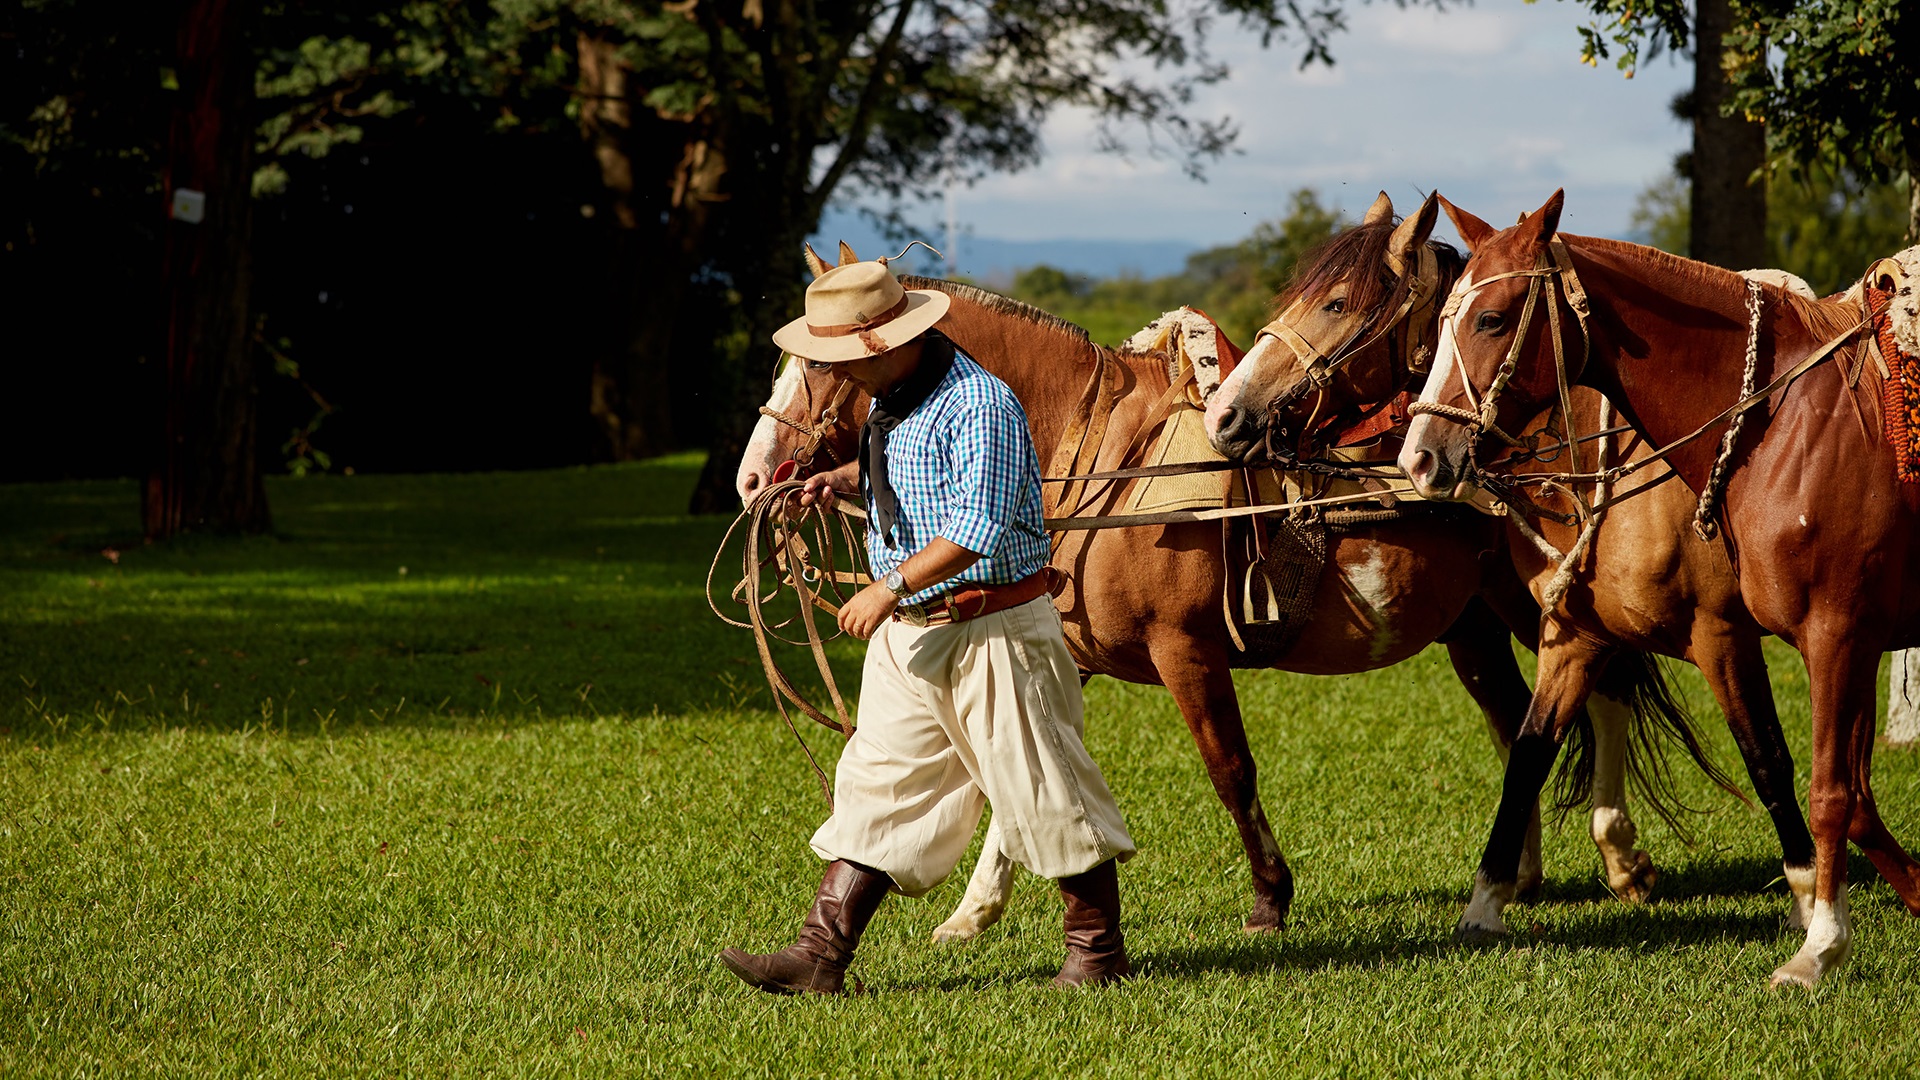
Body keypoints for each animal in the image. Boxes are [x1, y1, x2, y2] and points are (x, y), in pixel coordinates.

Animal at [733, 233, 1712, 933]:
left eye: (820, 367)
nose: (751, 480)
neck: (1102, 461)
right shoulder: (1064, 649)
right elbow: (1018, 773)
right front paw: (973, 913)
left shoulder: (1187, 652)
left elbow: (1229, 768)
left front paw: (1271, 898)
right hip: (1471, 625)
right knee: (1521, 724)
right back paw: (1527, 874)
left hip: (1537, 599)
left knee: (1598, 695)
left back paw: (1619, 859)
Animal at [1397, 187, 1920, 983]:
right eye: (1439, 323)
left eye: (1490, 319)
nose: (1420, 459)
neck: (1782, 427)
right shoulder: (1575, 637)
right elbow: (1528, 755)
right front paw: (1484, 906)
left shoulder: (1797, 635)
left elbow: (1799, 775)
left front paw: (1817, 933)